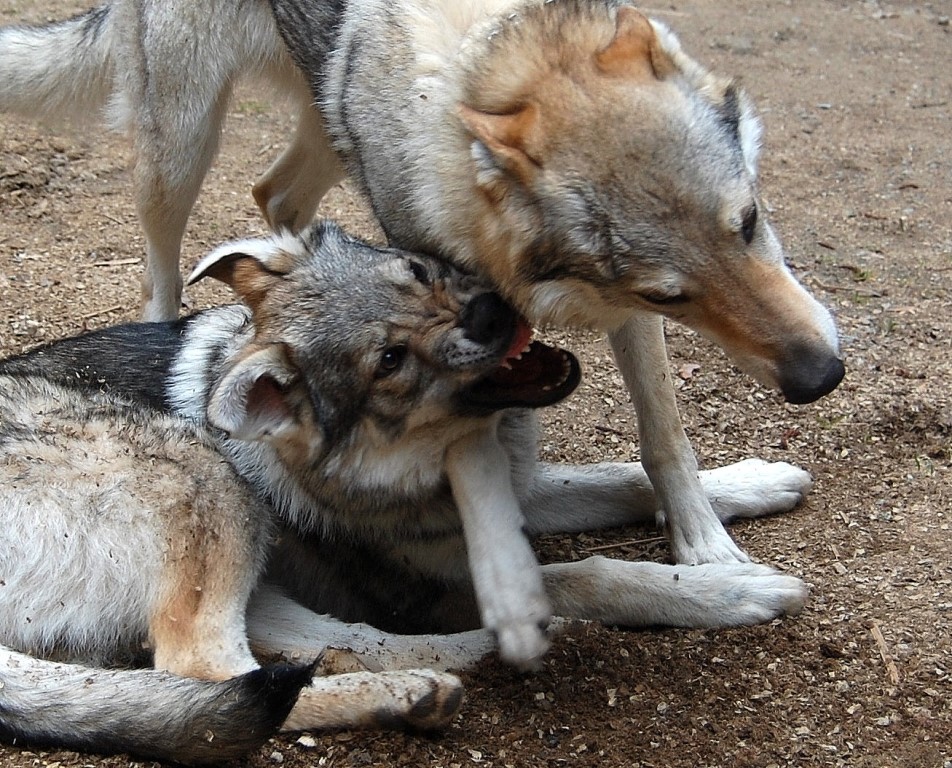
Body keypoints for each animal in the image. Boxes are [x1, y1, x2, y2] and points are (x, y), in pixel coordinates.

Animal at [0, 0, 844, 628]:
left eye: (750, 221)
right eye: (671, 293)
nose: (821, 378)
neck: (476, 61)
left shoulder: (614, 308)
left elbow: (661, 440)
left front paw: (708, 538)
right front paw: (717, 579)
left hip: (318, 124)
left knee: (275, 195)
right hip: (179, 145)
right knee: (165, 261)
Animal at [3, 219, 816, 760]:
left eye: (419, 273)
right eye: (390, 360)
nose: (495, 310)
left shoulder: (523, 490)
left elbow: (623, 476)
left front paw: (750, 487)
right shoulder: (452, 574)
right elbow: (598, 572)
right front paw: (728, 590)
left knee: (329, 648)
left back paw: (432, 680)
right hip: (205, 477)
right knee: (209, 675)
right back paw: (429, 682)